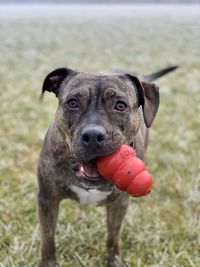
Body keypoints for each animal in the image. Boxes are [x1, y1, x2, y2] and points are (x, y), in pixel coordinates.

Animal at [38, 65, 178, 267]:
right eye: (72, 103)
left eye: (120, 106)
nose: (93, 135)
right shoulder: (47, 199)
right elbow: (48, 238)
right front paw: (49, 263)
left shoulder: (120, 204)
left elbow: (113, 236)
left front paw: (114, 261)